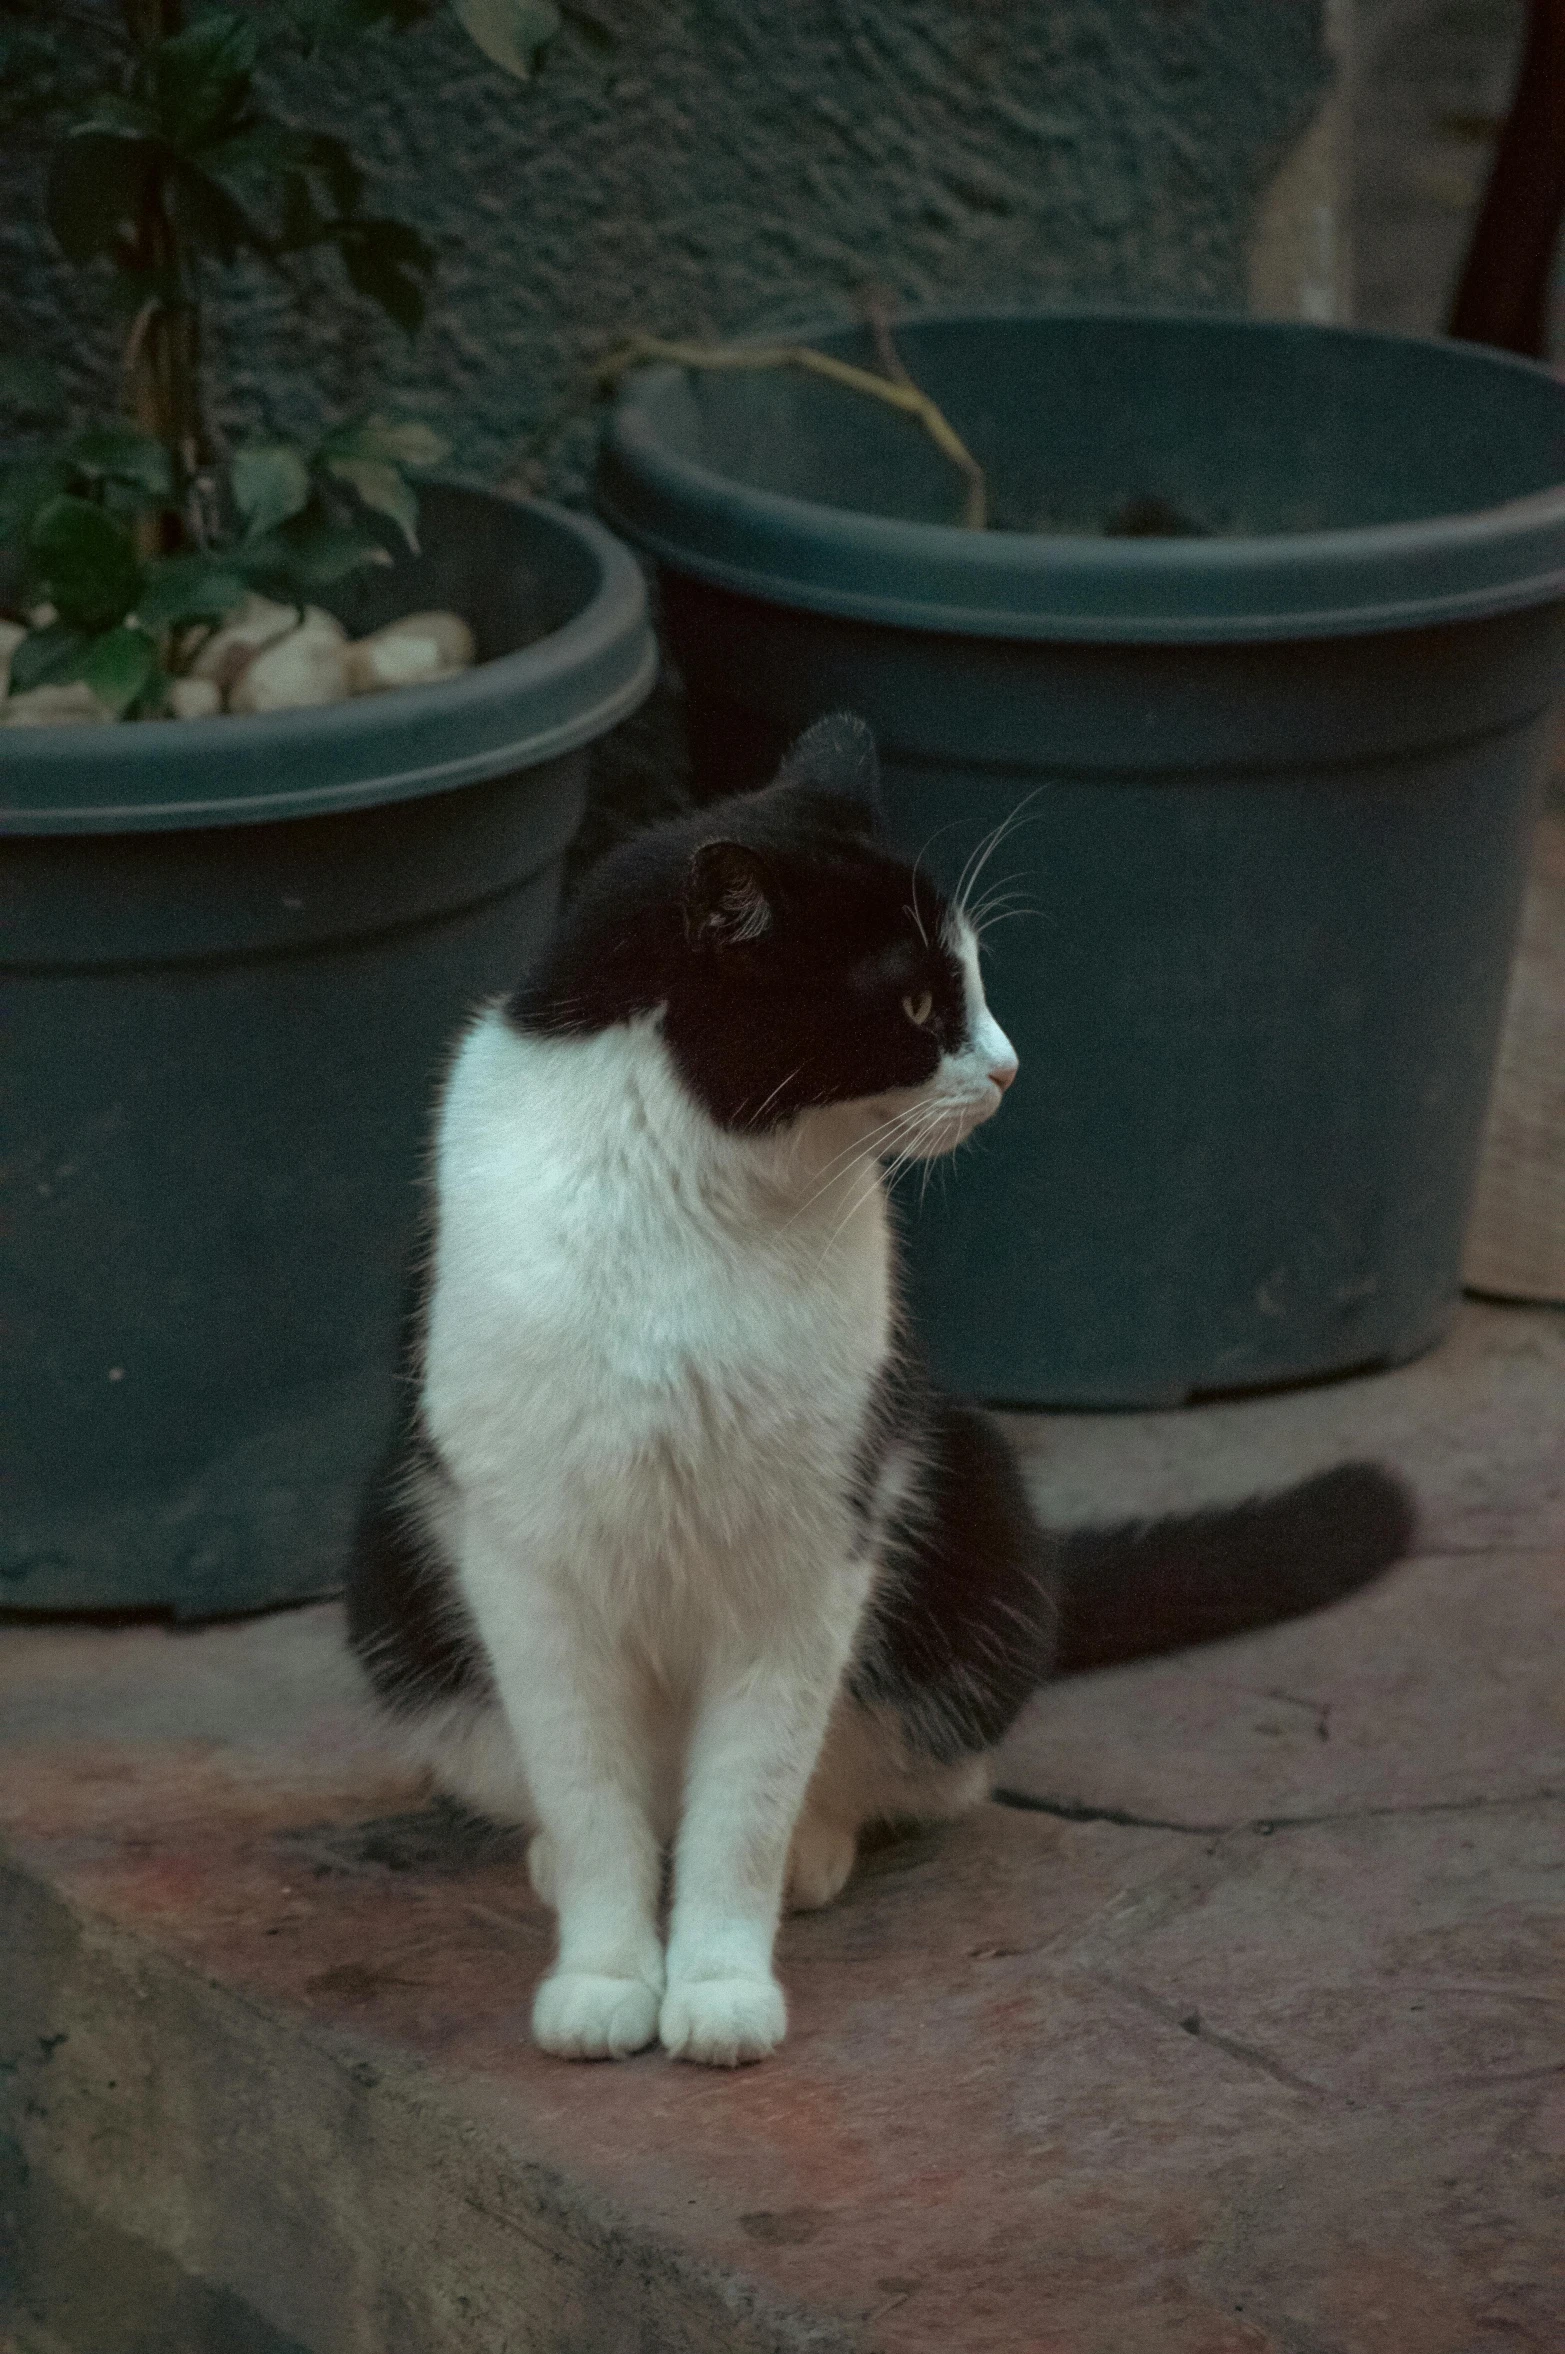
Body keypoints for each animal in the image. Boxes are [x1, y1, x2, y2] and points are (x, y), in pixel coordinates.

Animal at [345, 710, 1412, 2062]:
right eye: (912, 1000)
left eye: (975, 979)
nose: (1007, 1067)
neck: (699, 1199)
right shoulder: (524, 1558)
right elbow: (588, 1793)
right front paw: (601, 1973)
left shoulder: (813, 1542)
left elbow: (745, 1797)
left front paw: (719, 1983)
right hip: (392, 1571)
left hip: (975, 1497)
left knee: (907, 1765)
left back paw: (816, 1846)